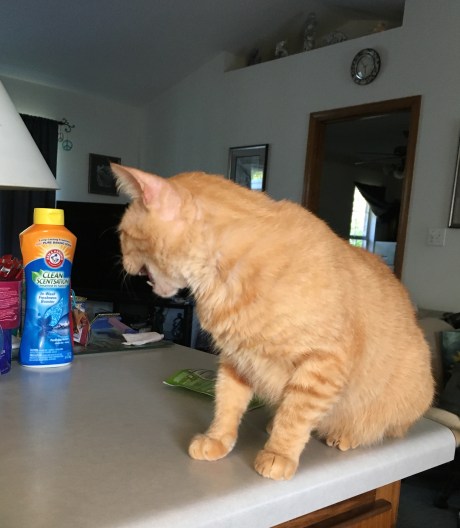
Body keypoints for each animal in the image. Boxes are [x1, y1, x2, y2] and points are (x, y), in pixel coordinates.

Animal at [111, 163, 434, 481]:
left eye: (122, 233)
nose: (122, 262)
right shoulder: (237, 361)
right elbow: (226, 404)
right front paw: (217, 439)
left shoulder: (322, 365)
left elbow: (295, 416)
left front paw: (279, 453)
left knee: (381, 427)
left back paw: (345, 434)